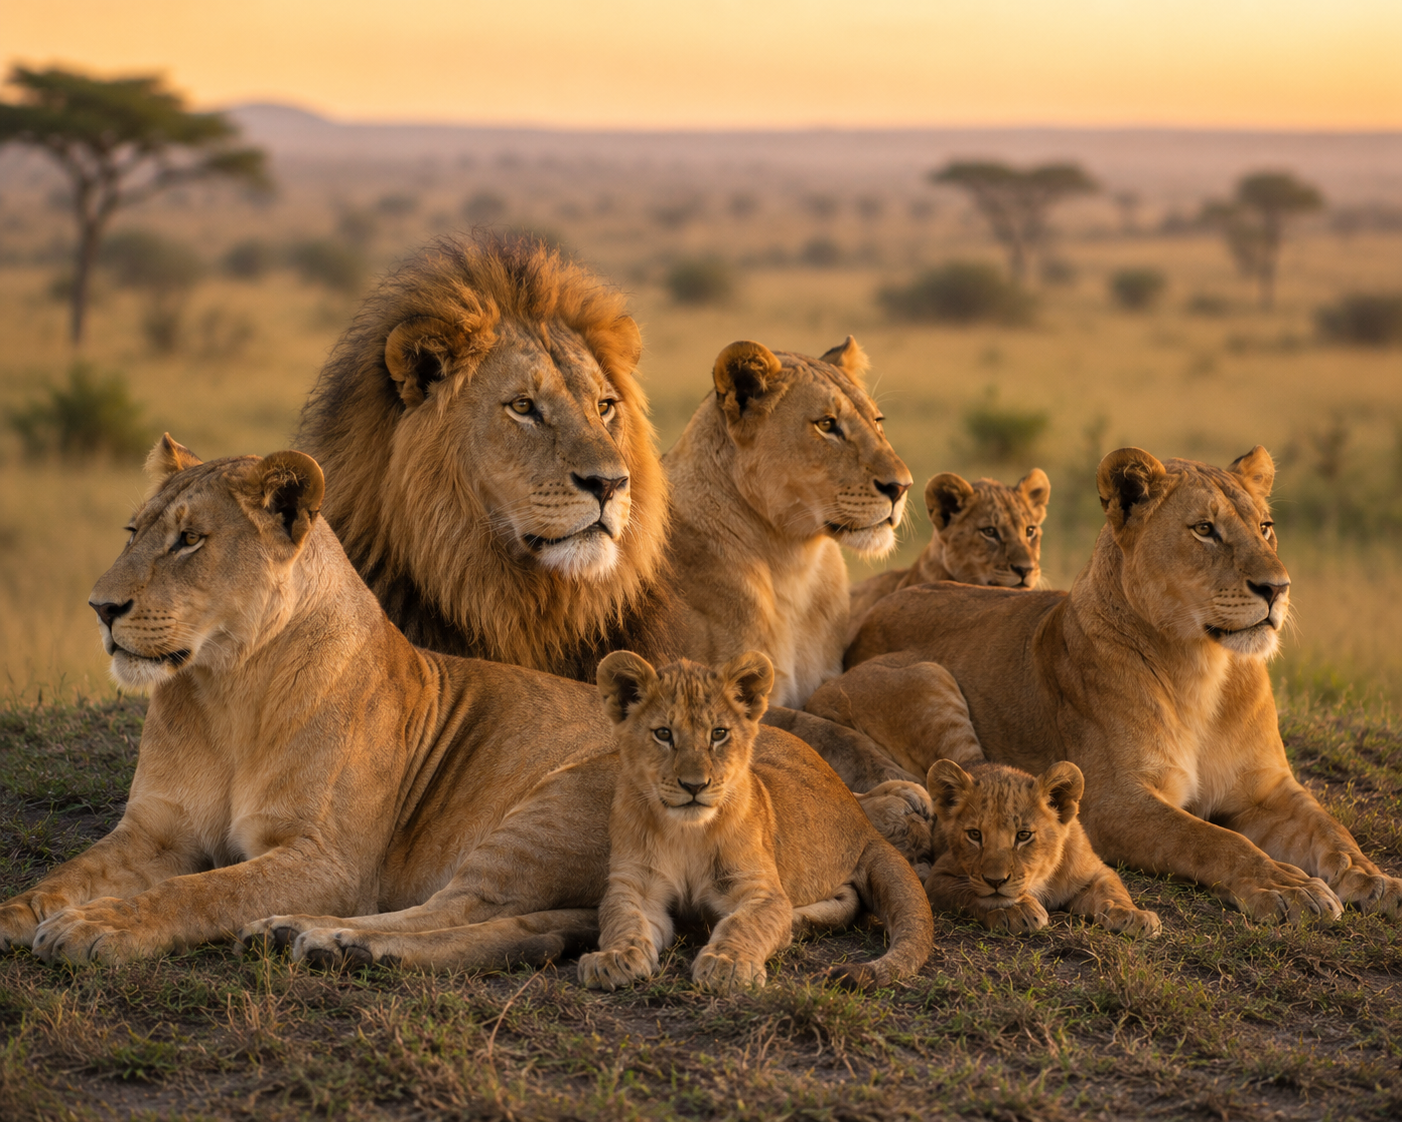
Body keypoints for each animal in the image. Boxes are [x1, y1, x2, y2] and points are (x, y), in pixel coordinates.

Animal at [578, 650, 933, 993]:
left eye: (718, 734)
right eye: (664, 734)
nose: (695, 785)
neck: (687, 832)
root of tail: (862, 827)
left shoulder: (759, 887)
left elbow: (744, 922)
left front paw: (728, 964)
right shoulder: (635, 884)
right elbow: (622, 919)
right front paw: (613, 957)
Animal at [925, 760, 1161, 936]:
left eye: (1023, 835)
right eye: (974, 835)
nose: (995, 881)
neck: (1040, 879)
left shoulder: (1095, 870)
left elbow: (1112, 889)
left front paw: (1134, 915)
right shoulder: (938, 877)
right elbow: (970, 895)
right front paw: (1015, 909)